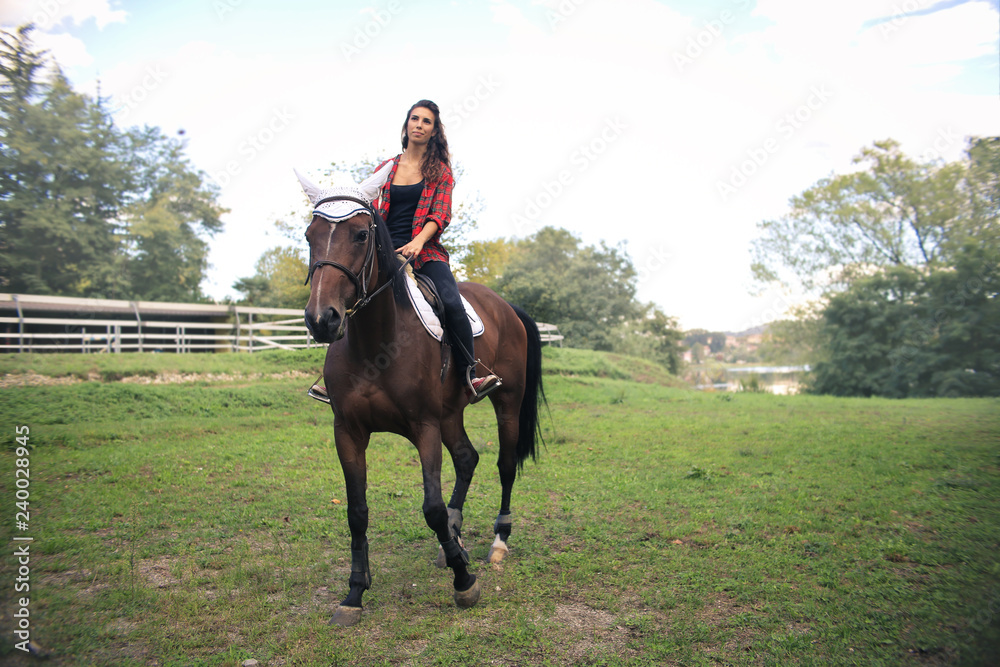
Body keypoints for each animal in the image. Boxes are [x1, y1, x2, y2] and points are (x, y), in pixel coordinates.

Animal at [296, 170, 548, 628]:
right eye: (310, 235)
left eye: (361, 234)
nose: (322, 319)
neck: (377, 345)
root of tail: (506, 305)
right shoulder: (348, 432)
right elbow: (356, 511)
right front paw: (354, 593)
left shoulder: (424, 427)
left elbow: (430, 507)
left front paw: (464, 582)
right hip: (451, 413)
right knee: (467, 458)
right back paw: (455, 535)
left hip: (506, 402)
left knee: (504, 466)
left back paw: (498, 541)